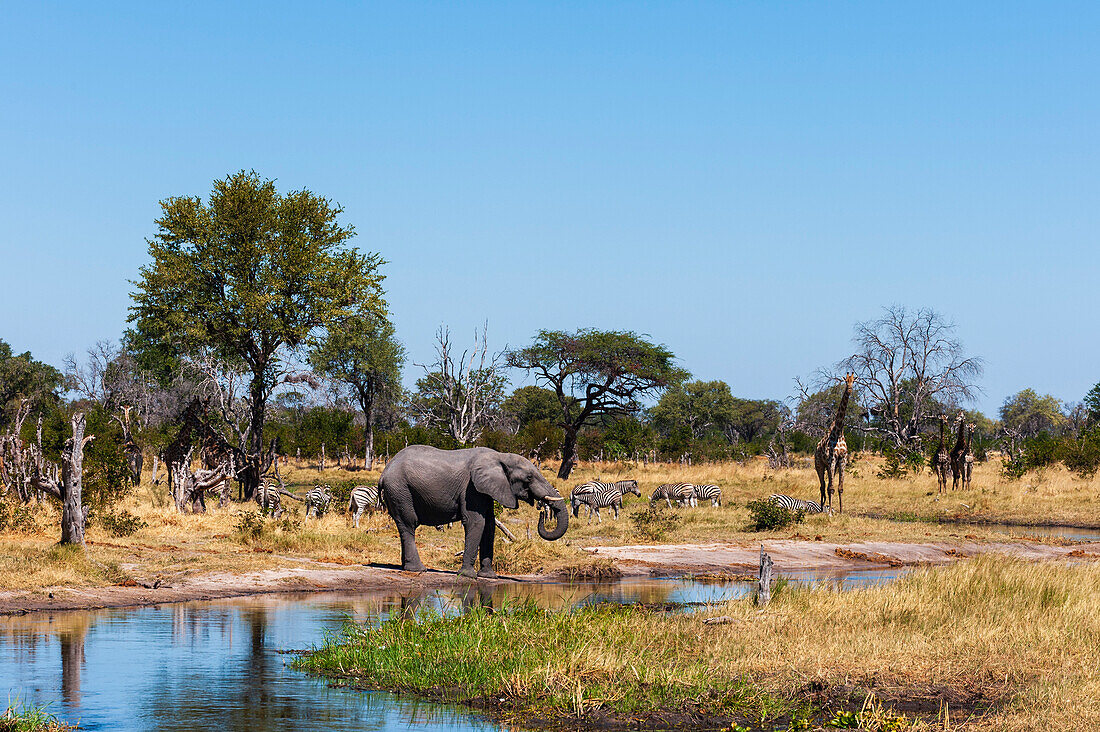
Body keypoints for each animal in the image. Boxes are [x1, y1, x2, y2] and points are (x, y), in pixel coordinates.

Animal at [378, 444, 567, 576]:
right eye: (528, 478)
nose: (541, 511)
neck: (500, 457)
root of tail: (384, 472)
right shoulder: (471, 489)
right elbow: (477, 523)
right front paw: (468, 576)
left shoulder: (486, 490)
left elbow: (489, 525)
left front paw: (489, 576)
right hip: (400, 490)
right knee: (409, 523)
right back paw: (418, 570)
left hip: (397, 491)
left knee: (404, 526)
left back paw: (406, 567)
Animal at [814, 374, 853, 510]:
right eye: (846, 381)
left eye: (854, 381)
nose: (849, 390)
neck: (838, 432)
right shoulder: (832, 460)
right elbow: (831, 488)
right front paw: (830, 512)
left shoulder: (842, 460)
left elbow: (840, 487)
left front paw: (841, 511)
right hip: (819, 465)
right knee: (822, 486)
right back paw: (821, 508)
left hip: (831, 466)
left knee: (826, 485)